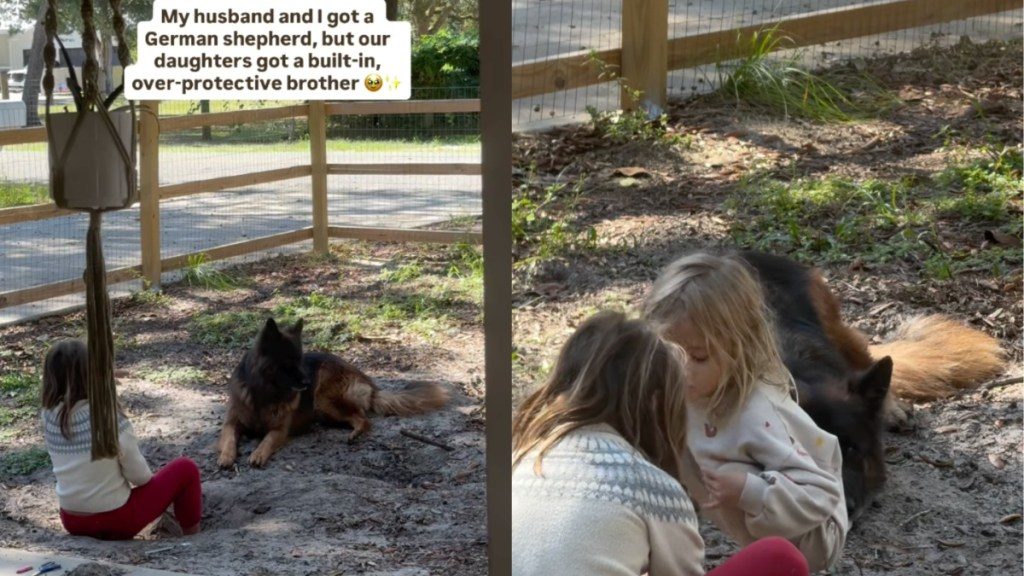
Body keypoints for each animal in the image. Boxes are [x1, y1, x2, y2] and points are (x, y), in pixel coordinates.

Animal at [217, 317, 449, 468]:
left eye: (300, 359)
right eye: (288, 362)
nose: (307, 382)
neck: (264, 393)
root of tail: (366, 380)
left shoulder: (279, 429)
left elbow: (267, 439)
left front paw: (258, 454)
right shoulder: (232, 421)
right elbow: (228, 436)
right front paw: (226, 457)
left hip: (323, 400)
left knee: (363, 419)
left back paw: (355, 434)